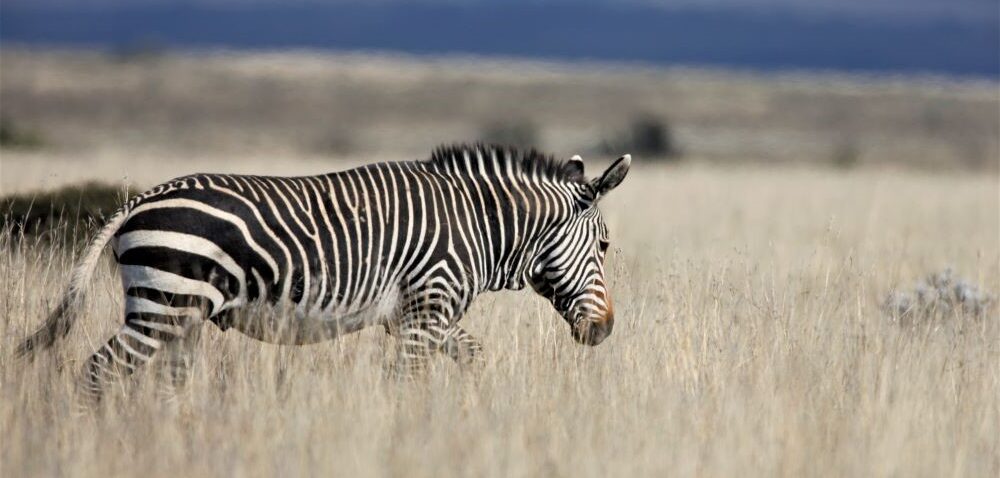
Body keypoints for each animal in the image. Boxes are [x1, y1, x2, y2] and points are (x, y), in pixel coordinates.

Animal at [16, 143, 631, 402]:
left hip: (179, 316)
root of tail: (139, 200)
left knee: (165, 383)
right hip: (161, 308)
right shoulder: (426, 311)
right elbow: (405, 383)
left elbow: (474, 358)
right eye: (604, 245)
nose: (605, 331)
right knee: (99, 373)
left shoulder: (419, 316)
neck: (481, 227)